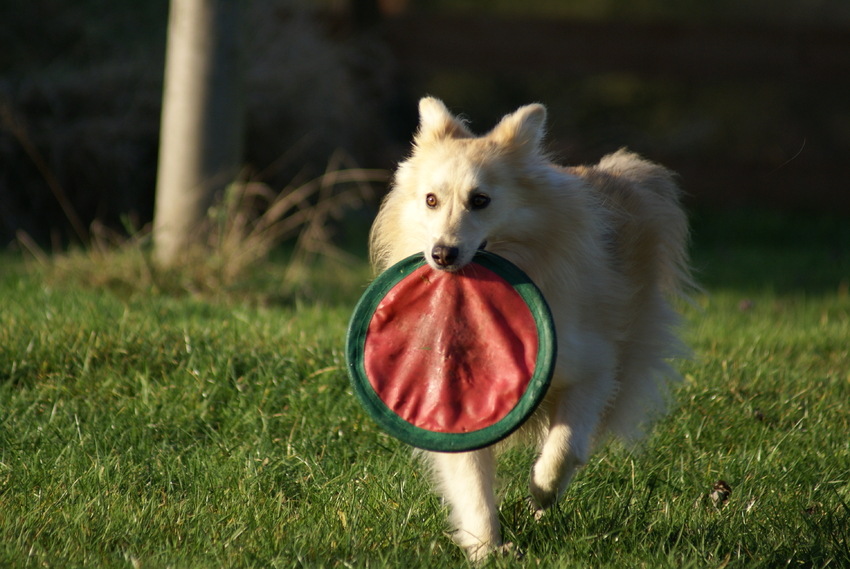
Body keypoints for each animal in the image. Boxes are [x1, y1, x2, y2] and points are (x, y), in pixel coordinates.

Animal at [368, 97, 692, 560]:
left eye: (480, 200)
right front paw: (486, 548)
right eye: (431, 200)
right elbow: (472, 484)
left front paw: (541, 490)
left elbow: (566, 446)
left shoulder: (590, 369)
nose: (442, 254)